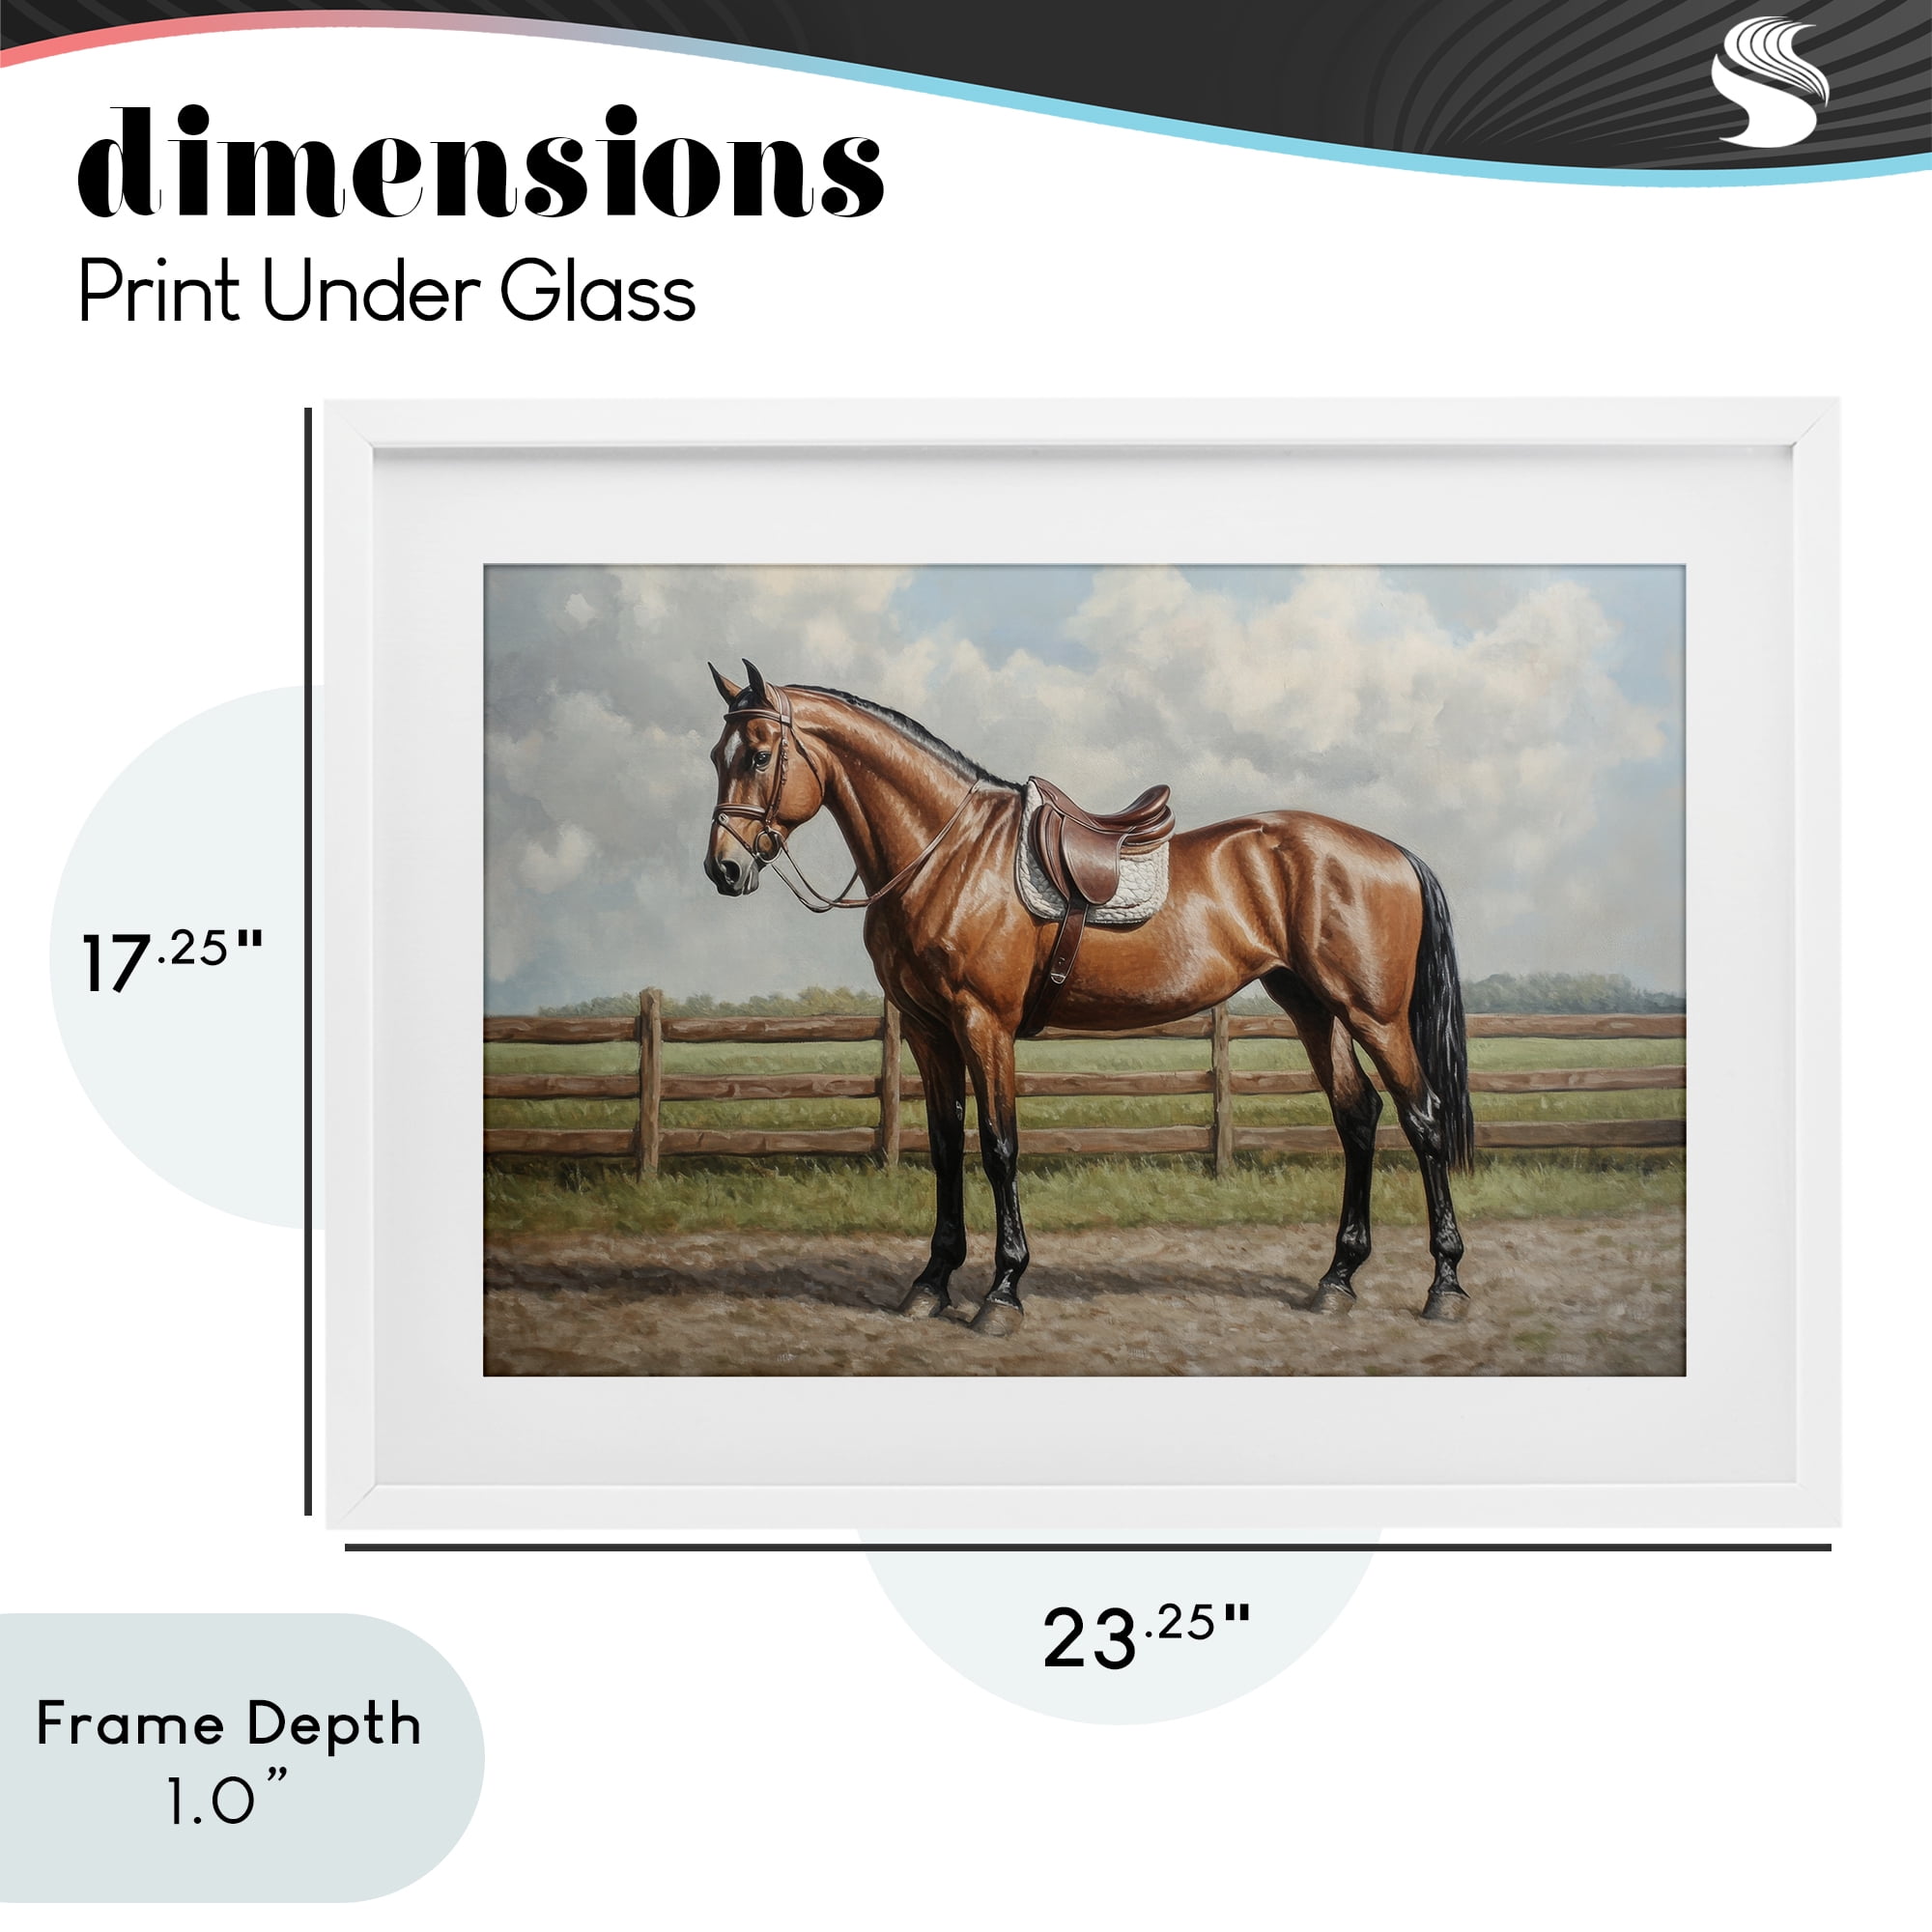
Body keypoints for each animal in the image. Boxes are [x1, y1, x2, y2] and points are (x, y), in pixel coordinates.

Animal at [703, 661, 1475, 1337]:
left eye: (762, 755)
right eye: (718, 754)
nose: (724, 868)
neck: (945, 854)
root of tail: (1392, 853)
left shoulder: (983, 1024)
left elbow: (999, 1146)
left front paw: (1003, 1292)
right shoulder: (927, 1031)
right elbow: (947, 1146)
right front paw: (931, 1282)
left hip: (1374, 1016)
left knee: (1422, 1119)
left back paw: (1445, 1286)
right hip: (1315, 1009)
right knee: (1358, 1117)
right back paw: (1337, 1280)